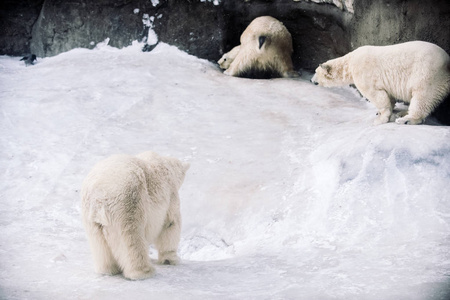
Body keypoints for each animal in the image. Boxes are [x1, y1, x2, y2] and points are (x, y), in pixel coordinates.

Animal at [81, 151, 190, 280]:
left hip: (91, 219)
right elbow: (170, 223)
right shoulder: (170, 196)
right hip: (128, 202)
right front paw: (171, 259)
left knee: (100, 244)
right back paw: (144, 271)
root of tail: (99, 196)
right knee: (131, 237)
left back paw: (108, 269)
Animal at [312, 40, 450, 125]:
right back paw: (402, 113)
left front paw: (380, 119)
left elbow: (376, 95)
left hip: (428, 75)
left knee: (422, 98)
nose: (312, 80)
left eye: (315, 71)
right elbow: (389, 96)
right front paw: (381, 112)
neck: (349, 63)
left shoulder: (364, 72)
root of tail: (448, 62)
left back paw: (406, 119)